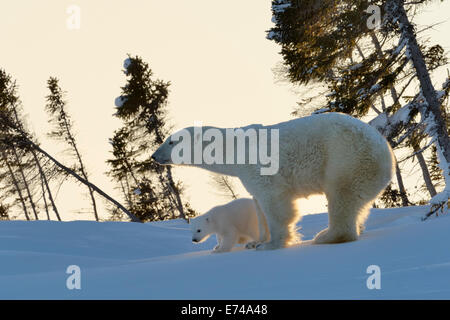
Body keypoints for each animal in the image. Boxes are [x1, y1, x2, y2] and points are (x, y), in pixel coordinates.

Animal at [151, 113, 394, 250]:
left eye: (171, 141)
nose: (154, 156)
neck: (234, 148)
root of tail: (386, 150)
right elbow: (258, 206)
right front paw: (255, 241)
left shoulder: (260, 167)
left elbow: (275, 204)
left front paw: (271, 245)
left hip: (346, 158)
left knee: (341, 196)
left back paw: (326, 236)